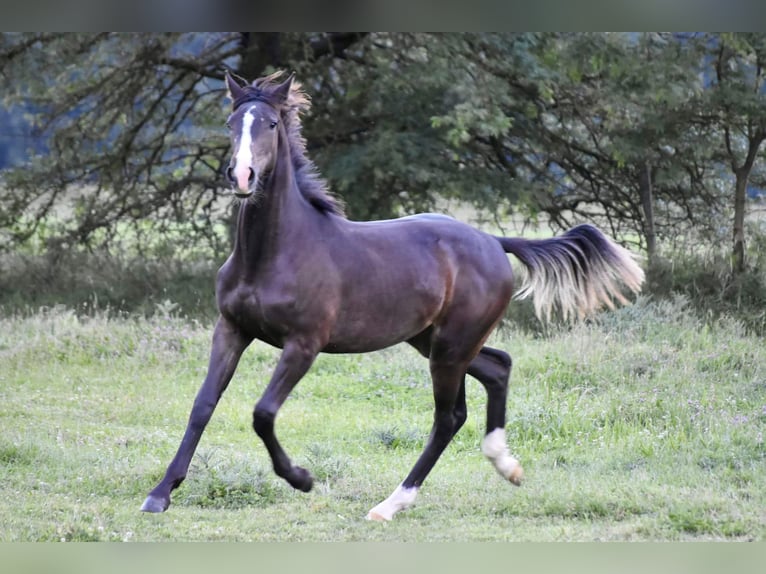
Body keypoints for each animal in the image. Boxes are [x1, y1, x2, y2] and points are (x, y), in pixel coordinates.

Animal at [140, 72, 648, 520]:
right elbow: (202, 406)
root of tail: (493, 240)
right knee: (497, 368)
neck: (274, 253)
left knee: (449, 416)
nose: (242, 176)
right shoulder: (231, 329)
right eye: (231, 123)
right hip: (435, 340)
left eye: (269, 124)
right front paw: (160, 494)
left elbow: (263, 413)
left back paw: (392, 504)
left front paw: (301, 478)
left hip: (450, 347)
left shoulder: (304, 344)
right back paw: (506, 466)